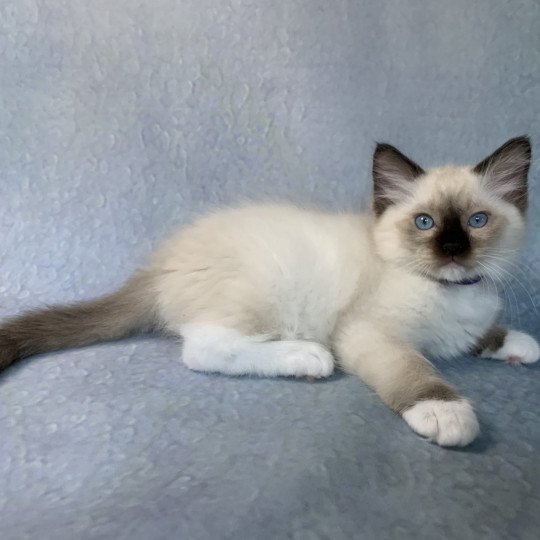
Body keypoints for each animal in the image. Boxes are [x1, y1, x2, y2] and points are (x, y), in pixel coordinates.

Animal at [0, 136, 536, 448]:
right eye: (425, 223)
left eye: (476, 222)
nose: (453, 249)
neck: (451, 291)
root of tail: (157, 265)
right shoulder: (369, 332)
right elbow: (414, 371)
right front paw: (447, 413)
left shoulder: (468, 322)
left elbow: (483, 334)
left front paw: (519, 344)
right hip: (265, 287)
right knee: (202, 349)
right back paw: (304, 357)